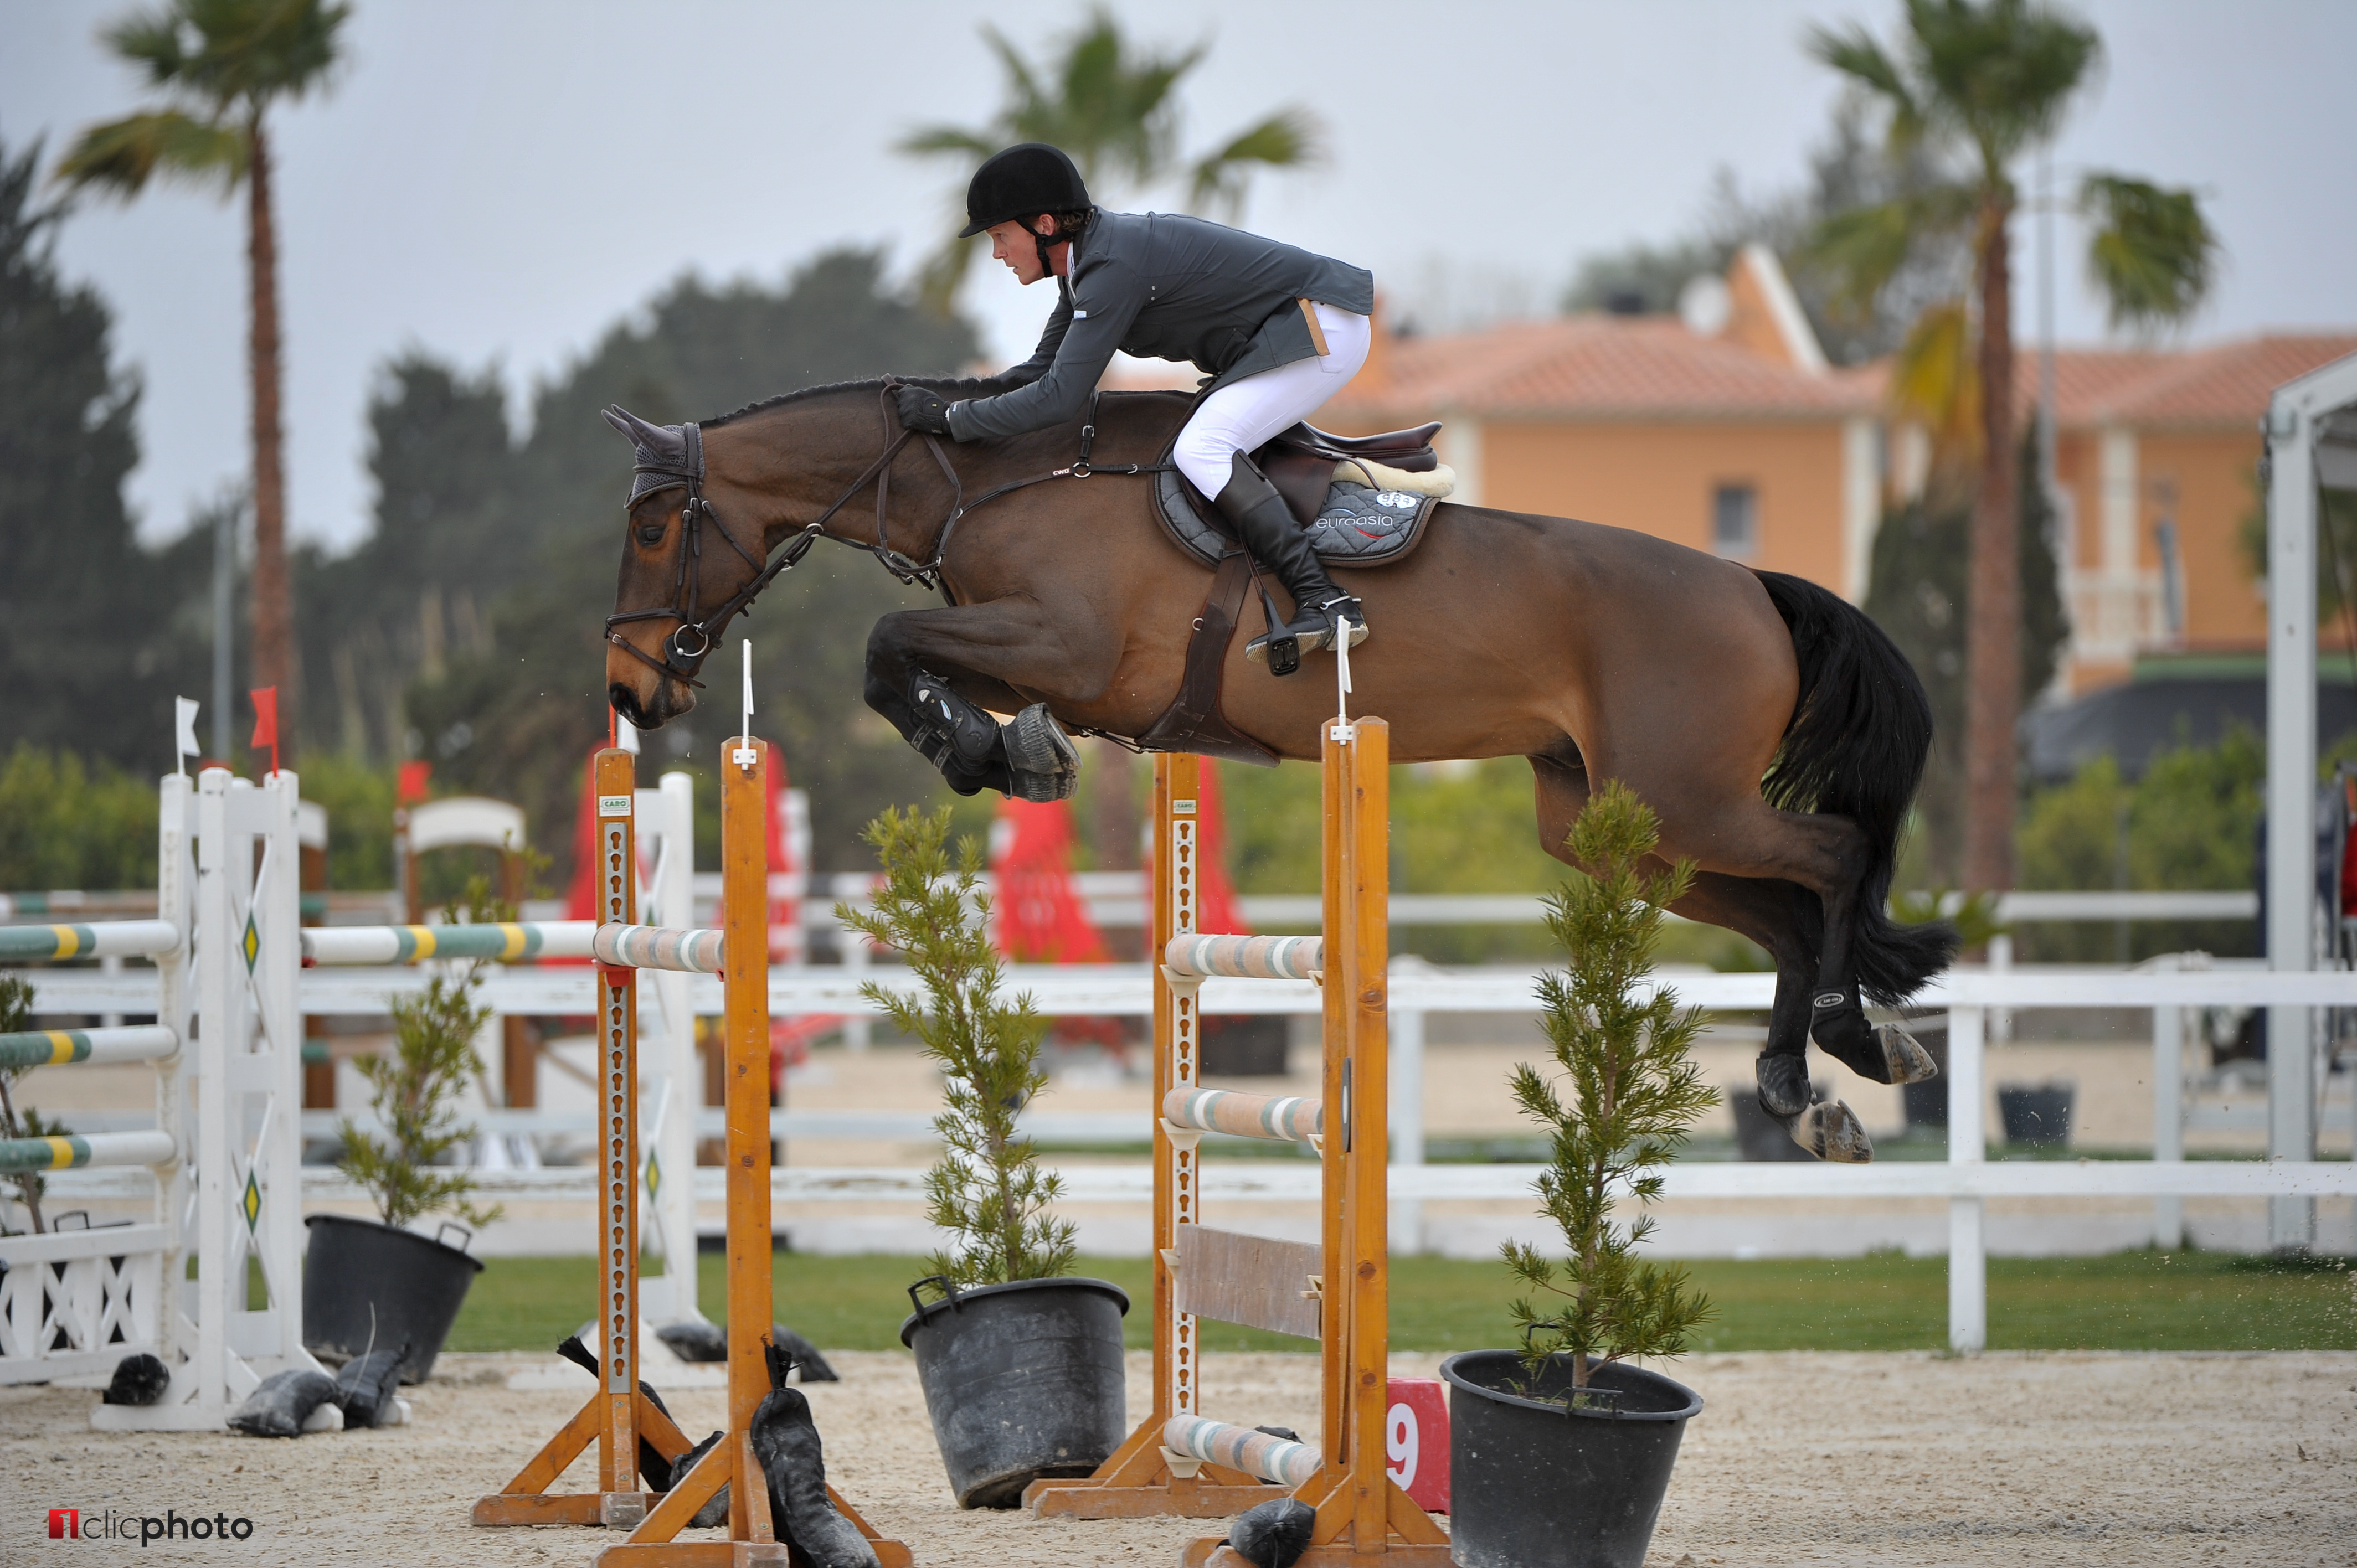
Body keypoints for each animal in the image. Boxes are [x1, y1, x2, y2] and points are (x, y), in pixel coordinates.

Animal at [603, 379, 1951, 1160]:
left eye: (654, 526)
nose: (631, 691)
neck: (985, 479)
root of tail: (1751, 585)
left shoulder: (1064, 646)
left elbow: (890, 649)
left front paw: (997, 751)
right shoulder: (1039, 653)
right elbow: (906, 662)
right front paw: (998, 748)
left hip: (1686, 801)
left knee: (1834, 858)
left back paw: (1850, 1035)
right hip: (1616, 826)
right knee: (1786, 916)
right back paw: (1805, 1089)